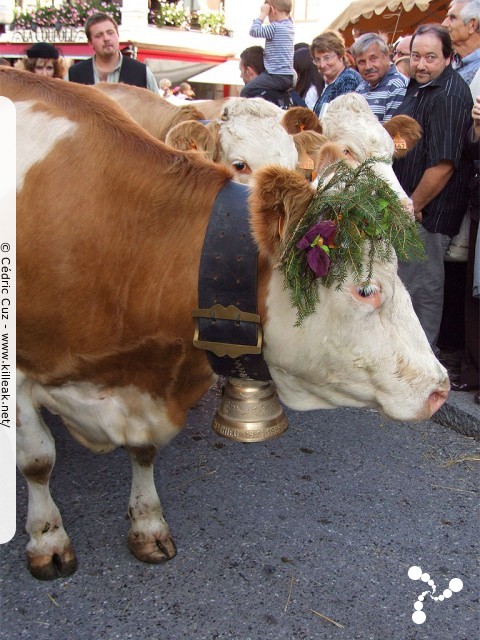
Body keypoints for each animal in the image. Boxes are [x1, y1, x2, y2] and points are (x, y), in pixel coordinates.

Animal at [0, 69, 450, 580]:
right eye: (365, 289)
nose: (441, 388)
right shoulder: (20, 374)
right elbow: (37, 460)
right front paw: (47, 539)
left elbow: (143, 451)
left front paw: (148, 525)